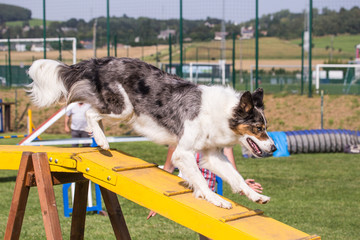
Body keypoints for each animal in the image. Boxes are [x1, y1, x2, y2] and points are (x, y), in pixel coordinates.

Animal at [27, 56, 276, 208]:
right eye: (259, 128)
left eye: (266, 128)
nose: (274, 148)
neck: (222, 113)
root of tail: (101, 61)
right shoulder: (183, 153)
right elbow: (201, 180)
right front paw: (216, 200)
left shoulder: (212, 154)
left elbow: (236, 177)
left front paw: (255, 195)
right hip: (124, 109)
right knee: (90, 113)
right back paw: (102, 141)